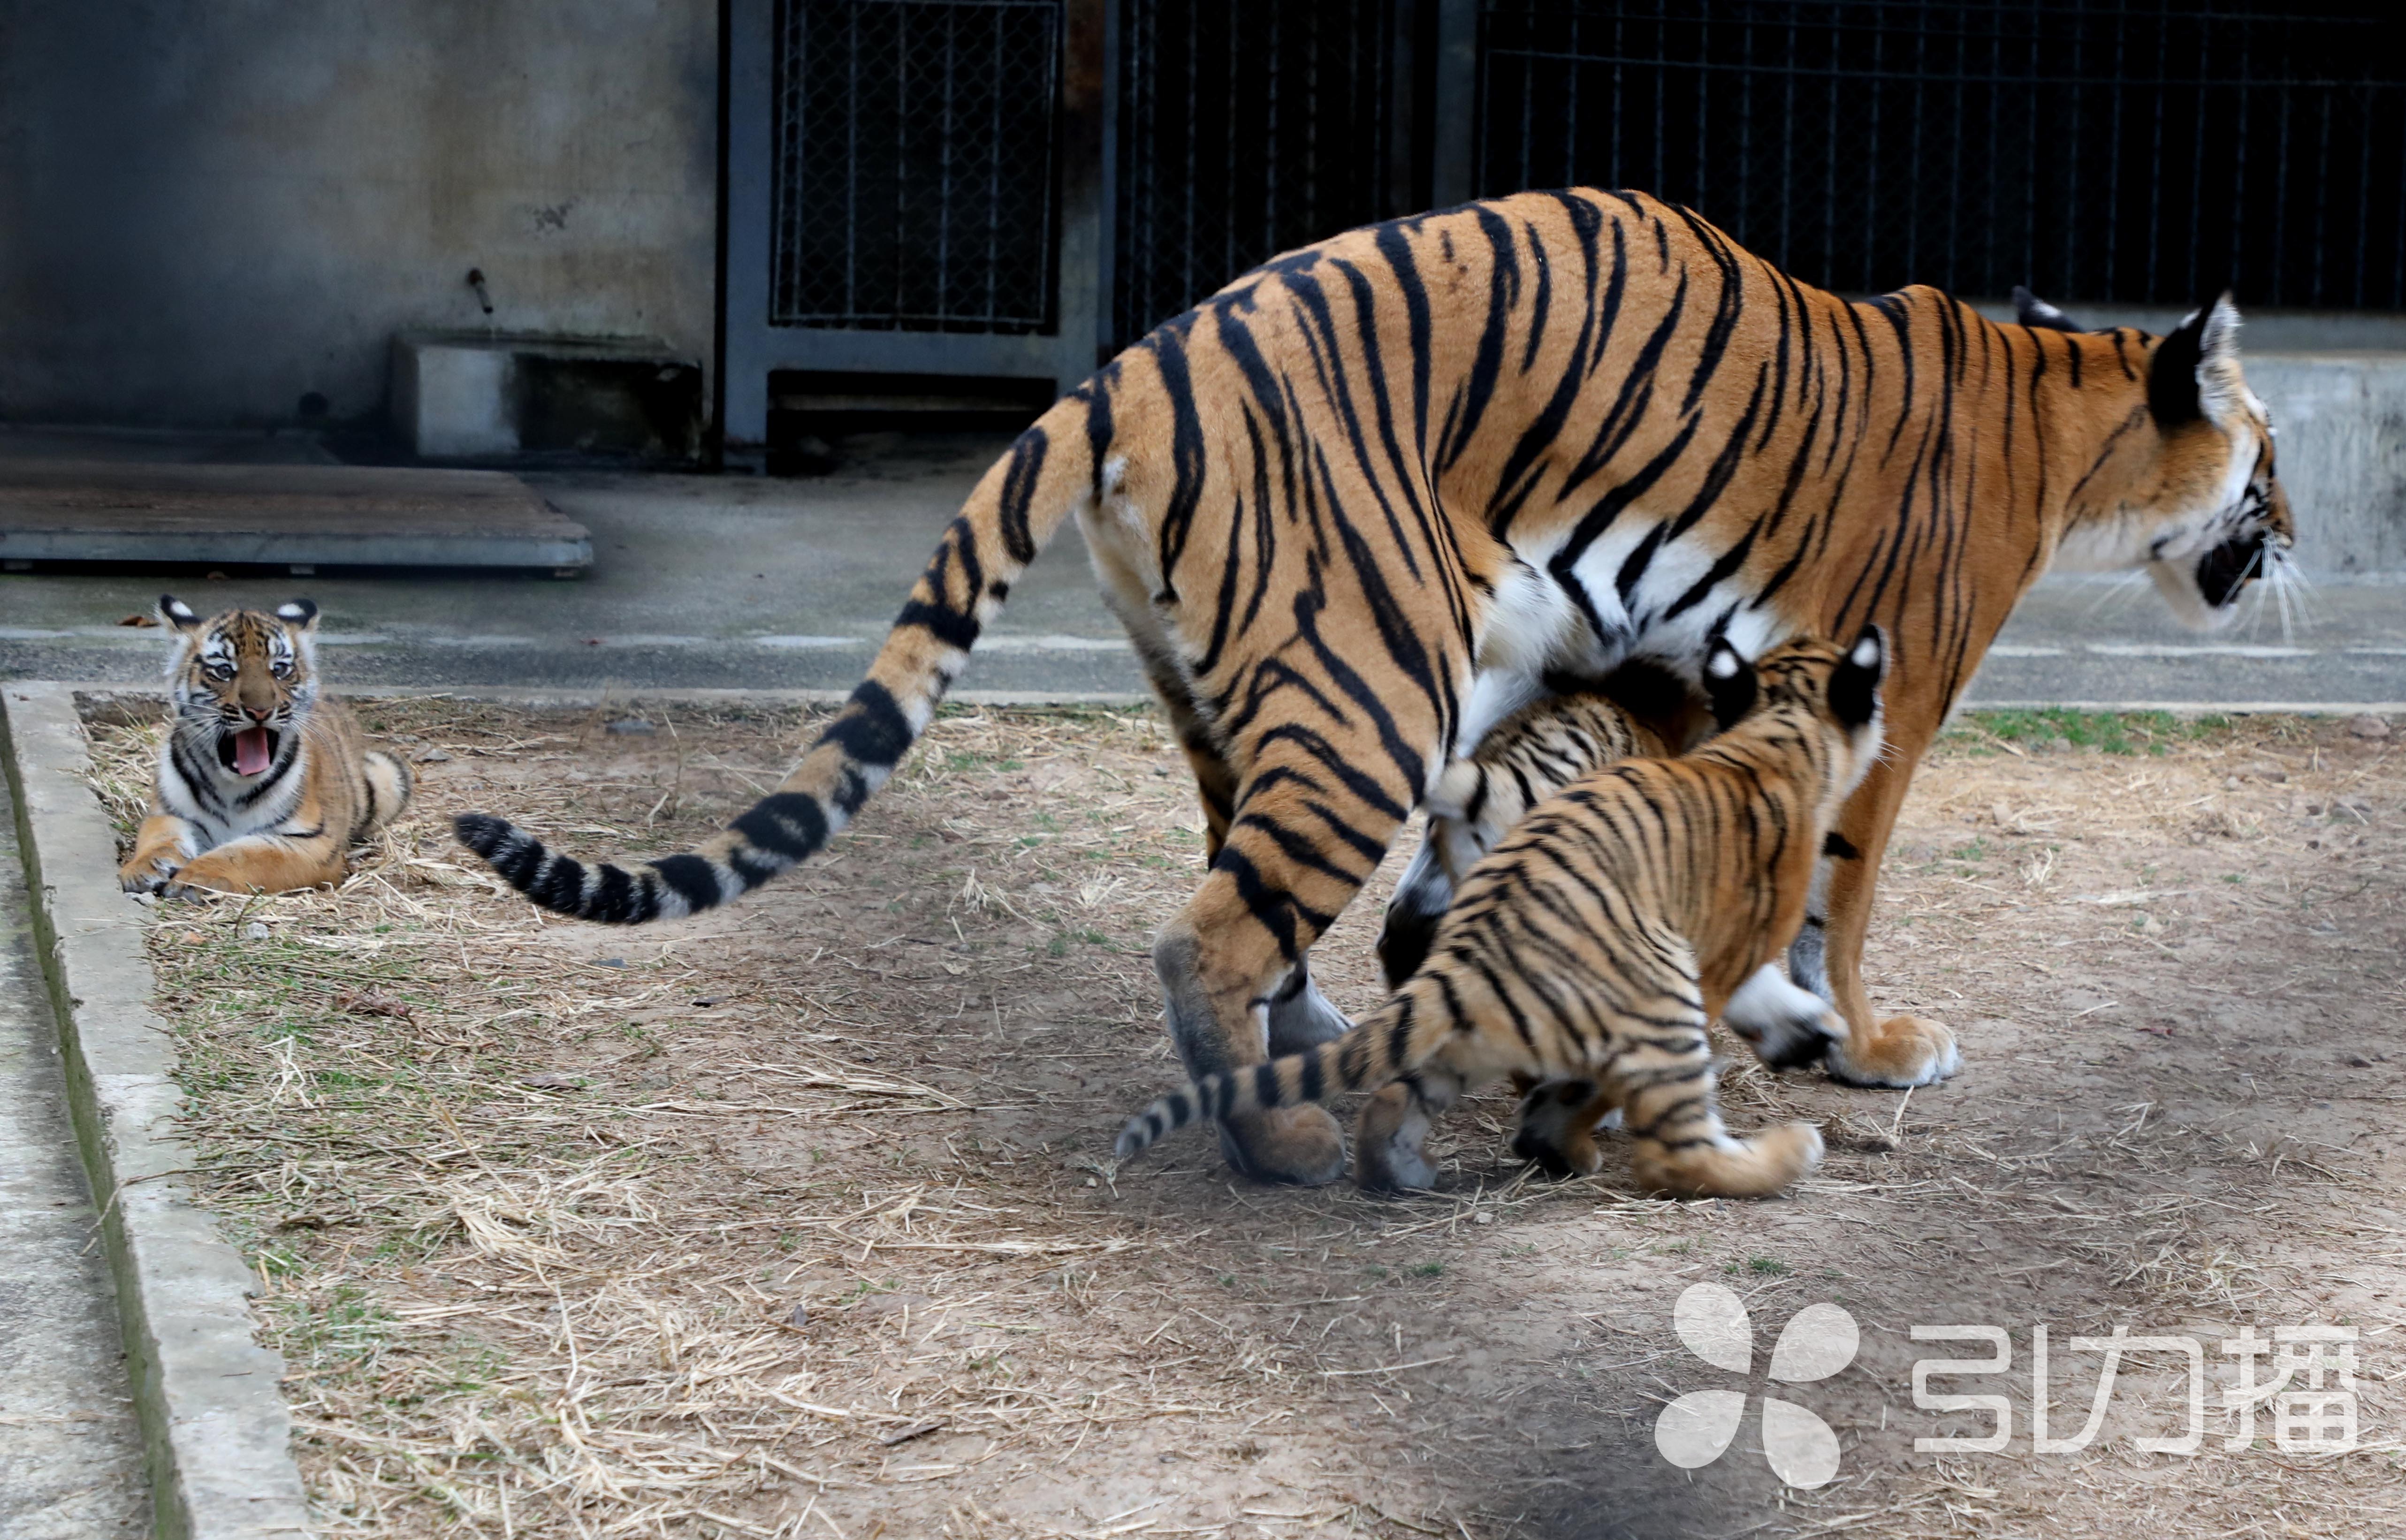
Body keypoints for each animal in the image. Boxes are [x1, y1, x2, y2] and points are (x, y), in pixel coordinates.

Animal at [464, 186, 2290, 1183]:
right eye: (2268, 467)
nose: (2291, 539)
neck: (2064, 420)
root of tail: (1134, 359)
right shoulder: (1886, 704)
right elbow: (1831, 888)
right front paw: (1855, 1038)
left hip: (1251, 689)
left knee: (1253, 903)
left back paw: (1323, 1053)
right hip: (1371, 683)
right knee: (1204, 934)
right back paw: (1273, 1147)